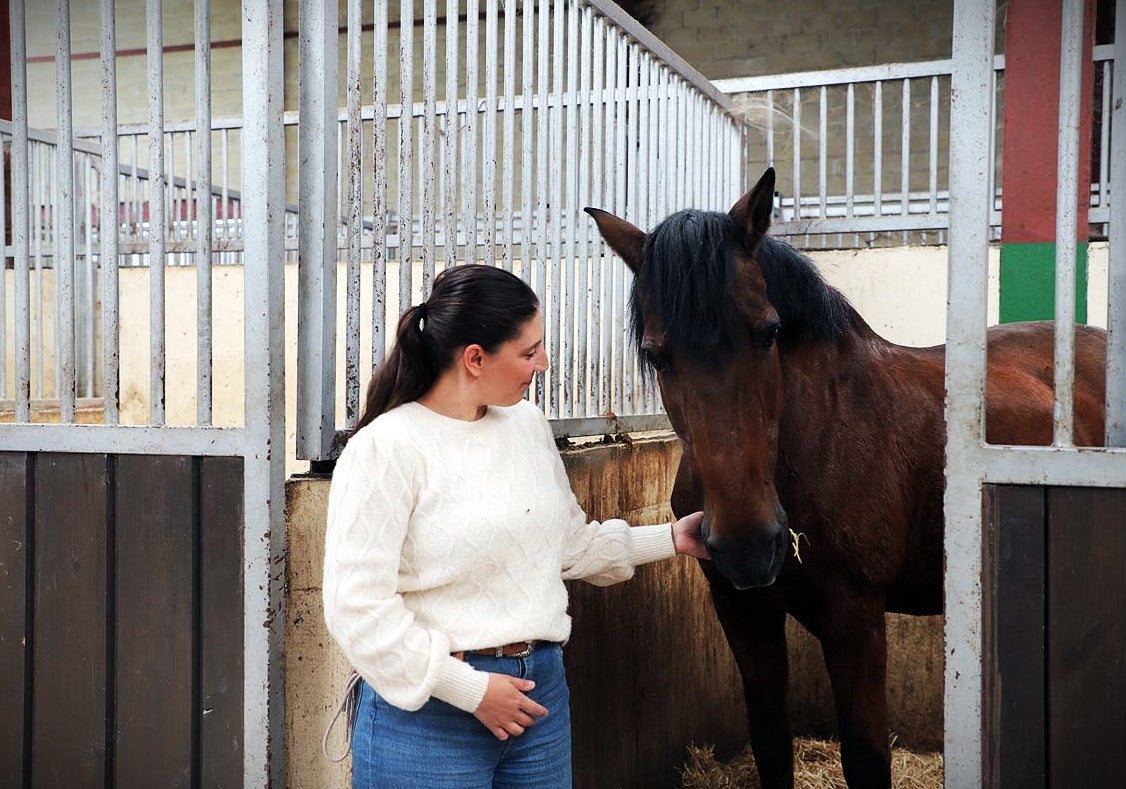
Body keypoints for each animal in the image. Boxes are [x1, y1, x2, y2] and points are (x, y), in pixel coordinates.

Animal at [590, 167, 1107, 787]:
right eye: (657, 355)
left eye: (769, 332)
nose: (749, 545)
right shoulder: (743, 610)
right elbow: (771, 743)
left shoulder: (856, 620)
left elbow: (866, 758)